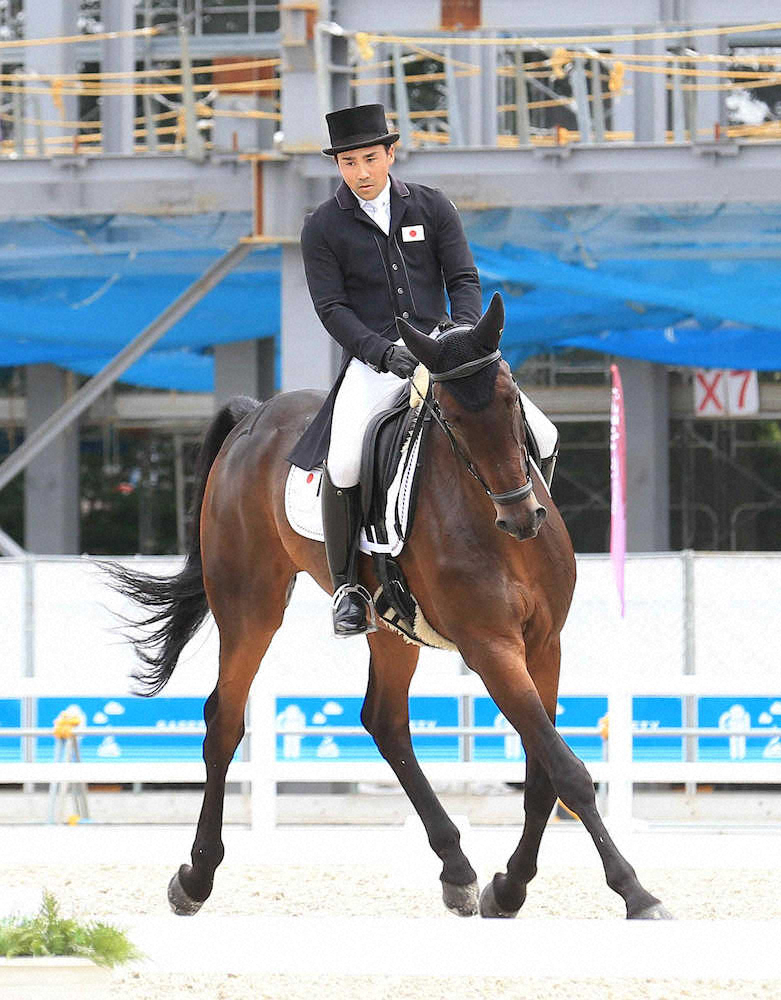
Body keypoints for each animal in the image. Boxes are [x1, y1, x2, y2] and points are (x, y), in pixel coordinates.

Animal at [109, 294, 672, 920]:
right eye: (451, 420)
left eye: (510, 401)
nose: (522, 517)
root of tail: (254, 417)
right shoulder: (491, 647)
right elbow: (566, 770)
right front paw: (634, 891)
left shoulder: (544, 644)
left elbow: (542, 775)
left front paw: (508, 887)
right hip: (248, 605)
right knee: (224, 721)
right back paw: (196, 876)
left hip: (390, 625)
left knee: (384, 720)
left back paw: (457, 868)